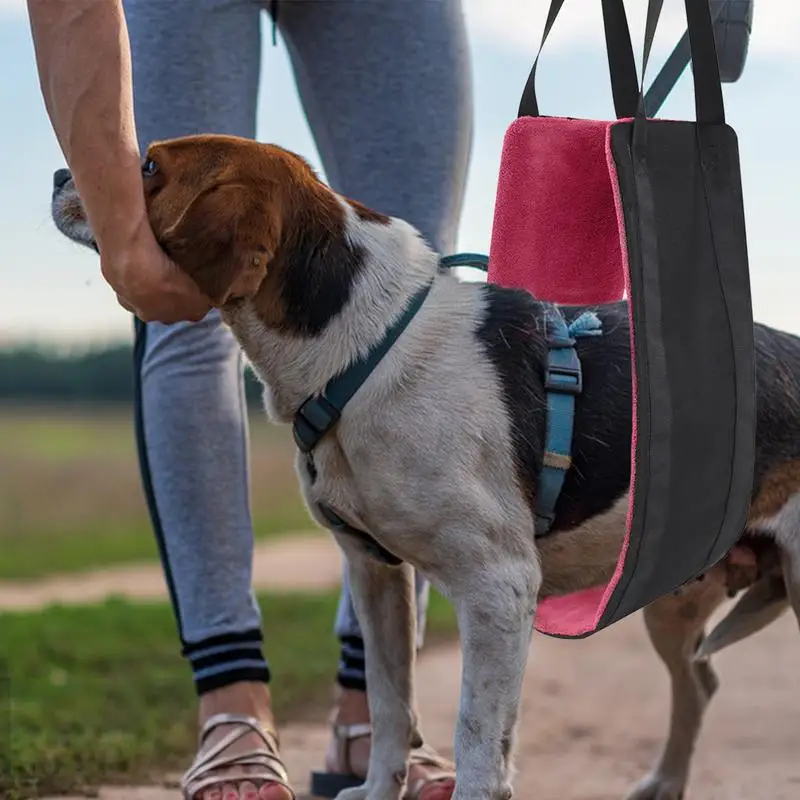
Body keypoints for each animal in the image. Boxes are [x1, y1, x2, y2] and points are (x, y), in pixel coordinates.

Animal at [51, 133, 800, 800]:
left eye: (151, 165)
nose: (61, 173)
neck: (362, 348)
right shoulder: (375, 571)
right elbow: (389, 713)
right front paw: (377, 791)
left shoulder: (498, 585)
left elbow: (476, 739)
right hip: (672, 599)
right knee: (698, 683)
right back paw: (664, 783)